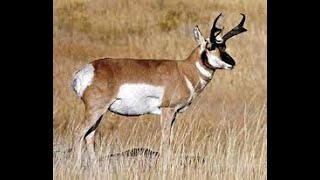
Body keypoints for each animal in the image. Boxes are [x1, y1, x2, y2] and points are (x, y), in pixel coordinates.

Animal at [72, 13, 248, 164]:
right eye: (210, 46)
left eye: (224, 46)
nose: (232, 63)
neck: (184, 71)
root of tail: (86, 71)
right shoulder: (167, 110)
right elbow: (165, 140)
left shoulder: (174, 114)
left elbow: (169, 138)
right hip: (95, 110)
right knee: (79, 132)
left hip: (100, 112)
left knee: (89, 135)